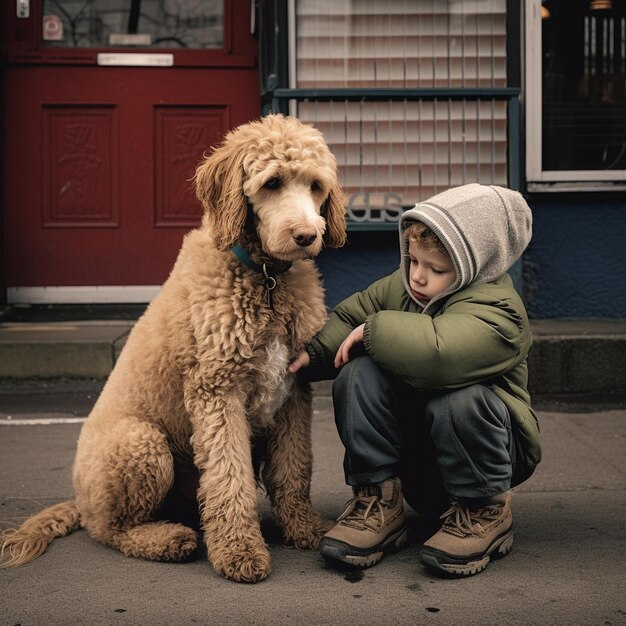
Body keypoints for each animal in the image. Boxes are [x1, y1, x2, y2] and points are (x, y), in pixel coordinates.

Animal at [0, 113, 344, 580]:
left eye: (316, 185)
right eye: (272, 183)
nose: (307, 235)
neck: (266, 280)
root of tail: (80, 502)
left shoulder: (293, 392)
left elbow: (294, 469)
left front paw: (304, 529)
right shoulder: (216, 391)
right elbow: (229, 477)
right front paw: (239, 552)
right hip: (141, 444)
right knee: (111, 530)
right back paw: (168, 540)